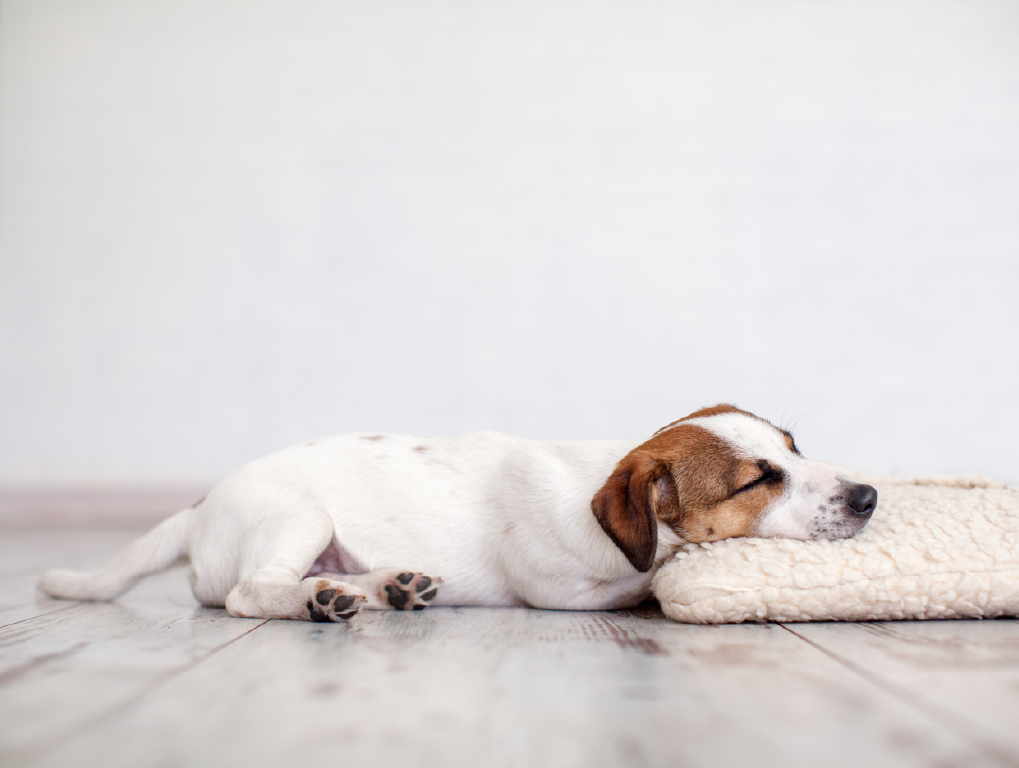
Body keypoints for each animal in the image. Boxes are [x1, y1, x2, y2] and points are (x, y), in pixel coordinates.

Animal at [37, 403, 876, 619]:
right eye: (758, 480)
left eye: (794, 446)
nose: (869, 496)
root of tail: (198, 507)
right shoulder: (562, 589)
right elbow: (647, 575)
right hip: (298, 517)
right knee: (250, 593)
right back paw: (321, 601)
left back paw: (379, 588)